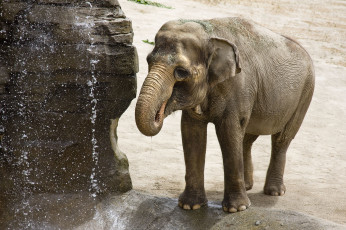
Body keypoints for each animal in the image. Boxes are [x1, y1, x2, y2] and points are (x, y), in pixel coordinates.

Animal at [136, 17, 316, 213]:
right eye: (148, 61)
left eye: (181, 72)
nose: (158, 113)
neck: (208, 31)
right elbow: (191, 133)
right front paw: (190, 206)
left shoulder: (237, 89)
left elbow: (228, 132)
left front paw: (236, 209)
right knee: (246, 138)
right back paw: (248, 186)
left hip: (305, 93)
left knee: (281, 139)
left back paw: (274, 192)